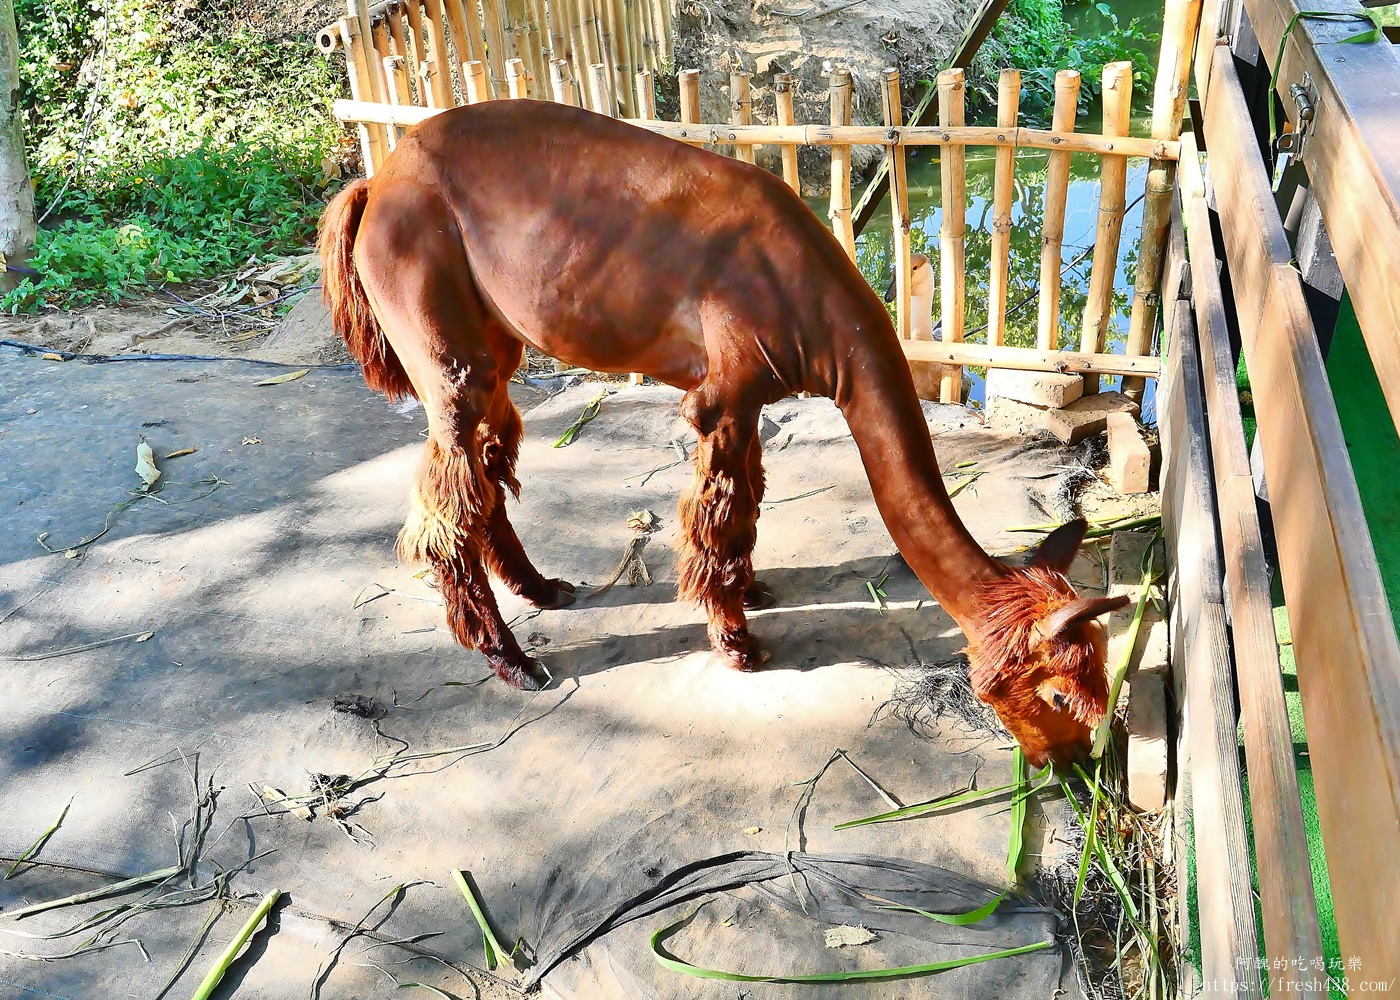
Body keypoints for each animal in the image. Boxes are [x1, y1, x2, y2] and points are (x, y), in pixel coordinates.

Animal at [318, 100, 1128, 768]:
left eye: (1102, 674)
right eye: (1061, 693)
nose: (1074, 761)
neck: (821, 314)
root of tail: (376, 182)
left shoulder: (755, 394)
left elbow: (747, 506)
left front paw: (750, 591)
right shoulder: (724, 392)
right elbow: (719, 513)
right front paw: (737, 643)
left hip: (494, 340)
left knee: (483, 470)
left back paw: (542, 589)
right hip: (436, 330)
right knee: (445, 503)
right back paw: (512, 660)